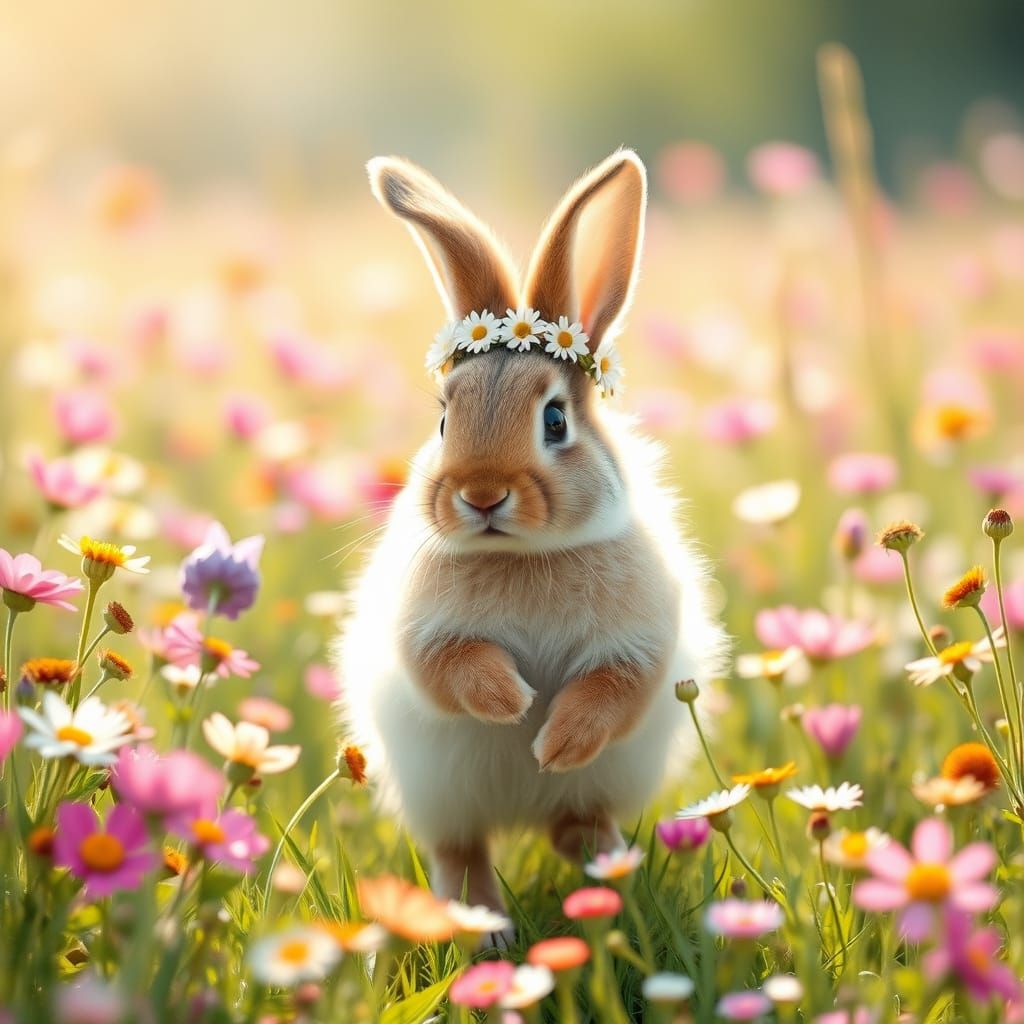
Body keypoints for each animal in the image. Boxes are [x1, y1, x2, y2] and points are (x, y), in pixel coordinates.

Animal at [336, 149, 726, 931]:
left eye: (554, 421)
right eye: (444, 421)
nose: (481, 496)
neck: (521, 555)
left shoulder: (640, 647)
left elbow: (612, 691)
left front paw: (552, 740)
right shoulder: (424, 636)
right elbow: (452, 668)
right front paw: (511, 703)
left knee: (579, 829)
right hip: (442, 802)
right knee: (464, 854)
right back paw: (486, 930)